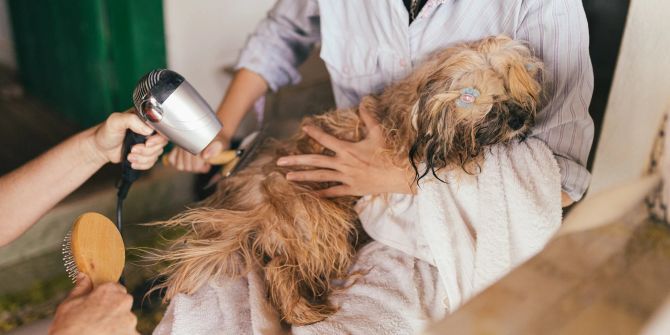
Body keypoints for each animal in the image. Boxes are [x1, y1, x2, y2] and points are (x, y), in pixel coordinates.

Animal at [152, 36, 544, 326]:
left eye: (512, 88)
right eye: (481, 97)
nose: (519, 120)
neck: (415, 108)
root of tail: (257, 204)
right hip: (322, 219)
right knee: (280, 268)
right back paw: (304, 309)